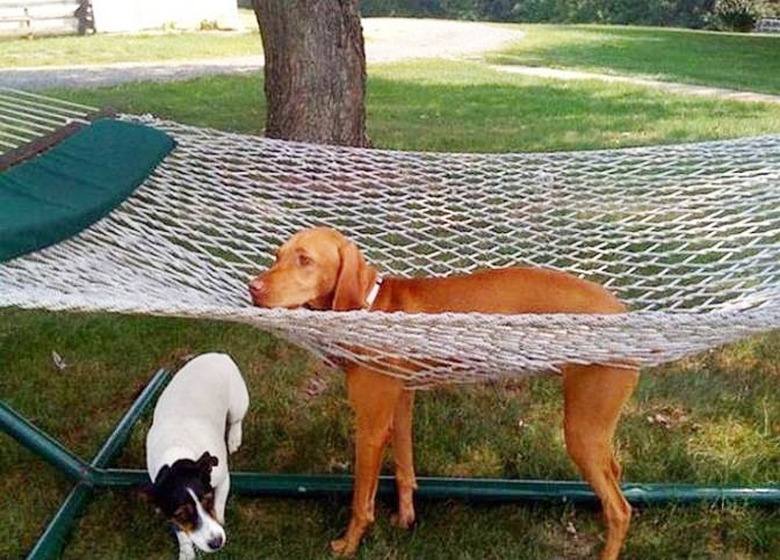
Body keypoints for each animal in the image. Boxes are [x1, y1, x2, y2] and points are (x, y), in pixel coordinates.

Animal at [142, 352, 247, 556]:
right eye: (181, 515)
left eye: (208, 500)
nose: (217, 542)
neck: (177, 451)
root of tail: (218, 354)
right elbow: (181, 531)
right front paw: (186, 551)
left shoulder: (224, 479)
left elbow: (219, 506)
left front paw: (220, 520)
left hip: (238, 403)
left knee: (236, 420)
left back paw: (233, 438)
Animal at [250, 228, 640, 560]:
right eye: (277, 255)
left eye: (305, 259)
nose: (253, 288)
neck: (371, 307)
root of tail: (622, 310)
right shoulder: (401, 403)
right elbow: (405, 467)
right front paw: (405, 518)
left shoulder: (371, 426)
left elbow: (361, 501)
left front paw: (348, 544)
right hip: (595, 428)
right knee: (615, 476)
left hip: (582, 429)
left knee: (620, 509)